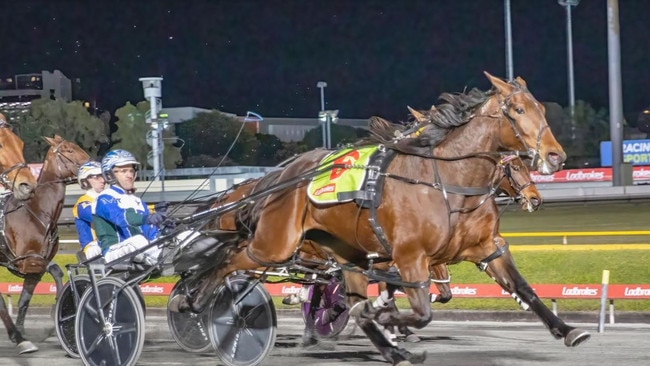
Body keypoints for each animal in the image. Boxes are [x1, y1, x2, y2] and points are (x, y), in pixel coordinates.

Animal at [0, 136, 88, 354]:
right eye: (68, 150)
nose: (94, 165)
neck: (36, 211)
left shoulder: (36, 268)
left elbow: (25, 299)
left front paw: (21, 333)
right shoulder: (27, 260)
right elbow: (56, 270)